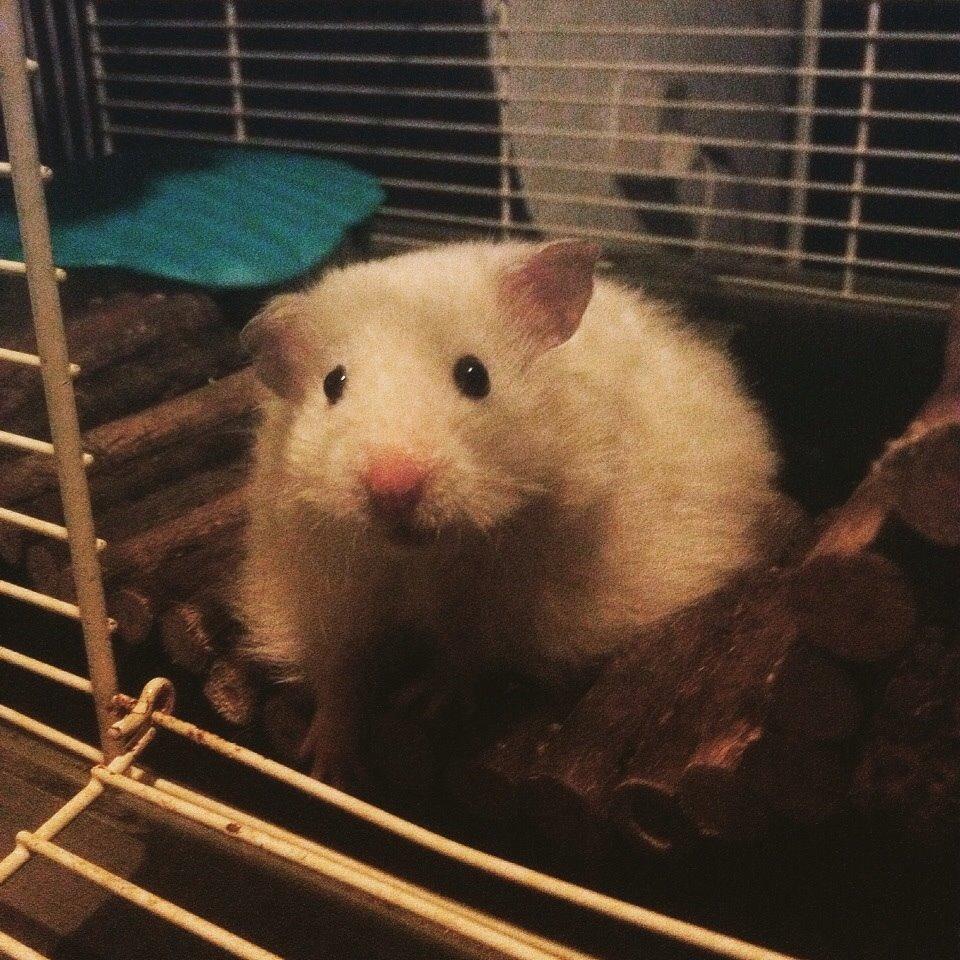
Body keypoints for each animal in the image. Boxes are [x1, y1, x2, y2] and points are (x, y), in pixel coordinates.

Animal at [237, 239, 784, 778]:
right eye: (333, 383)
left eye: (475, 375)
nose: (393, 488)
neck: (422, 561)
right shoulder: (325, 591)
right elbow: (339, 680)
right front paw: (324, 764)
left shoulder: (511, 601)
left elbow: (467, 651)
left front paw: (425, 703)